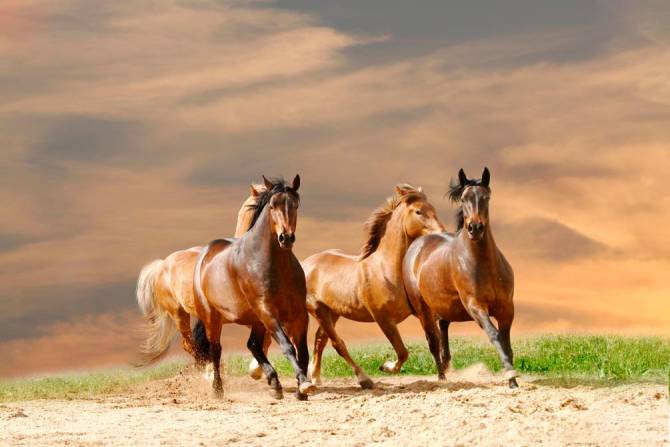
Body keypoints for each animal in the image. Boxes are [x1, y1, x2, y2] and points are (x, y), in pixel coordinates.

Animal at [193, 175, 316, 400]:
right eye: (272, 206)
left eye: (295, 204)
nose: (286, 238)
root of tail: (205, 254)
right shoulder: (267, 311)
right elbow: (287, 347)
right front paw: (304, 384)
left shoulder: (299, 314)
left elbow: (302, 351)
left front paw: (302, 389)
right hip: (213, 318)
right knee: (216, 350)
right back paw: (218, 389)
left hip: (255, 319)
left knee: (253, 345)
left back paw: (274, 383)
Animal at [304, 185, 446, 388]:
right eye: (418, 211)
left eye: (433, 208)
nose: (441, 232)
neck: (386, 269)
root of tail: (305, 264)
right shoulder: (383, 319)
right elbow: (402, 351)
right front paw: (386, 366)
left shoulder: (422, 312)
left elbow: (433, 341)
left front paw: (443, 376)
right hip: (318, 311)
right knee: (338, 344)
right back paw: (364, 379)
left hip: (333, 312)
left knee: (320, 340)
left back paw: (315, 377)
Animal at [404, 168, 520, 388]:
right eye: (464, 198)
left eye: (486, 197)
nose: (475, 227)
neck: (484, 265)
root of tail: (417, 244)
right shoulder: (475, 306)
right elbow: (494, 335)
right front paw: (510, 375)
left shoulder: (506, 308)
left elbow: (506, 340)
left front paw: (513, 379)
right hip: (423, 310)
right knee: (432, 340)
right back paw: (442, 376)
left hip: (443, 307)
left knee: (443, 330)